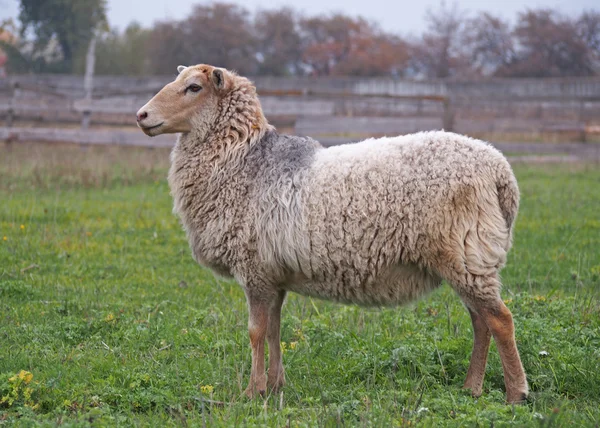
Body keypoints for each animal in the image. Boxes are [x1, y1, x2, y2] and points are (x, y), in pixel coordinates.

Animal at [137, 62, 528, 402]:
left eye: (194, 87)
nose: (141, 116)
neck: (243, 162)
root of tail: (499, 169)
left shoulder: (255, 269)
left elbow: (255, 332)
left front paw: (252, 392)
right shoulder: (273, 275)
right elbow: (275, 329)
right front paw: (276, 386)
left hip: (466, 251)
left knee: (500, 320)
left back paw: (515, 394)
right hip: (467, 257)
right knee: (480, 322)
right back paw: (471, 388)